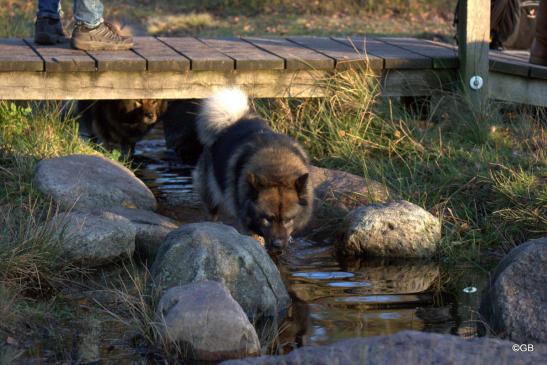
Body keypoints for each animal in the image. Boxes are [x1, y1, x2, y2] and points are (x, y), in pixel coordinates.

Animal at [194, 87, 314, 250]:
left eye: (288, 219)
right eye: (267, 219)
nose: (277, 245)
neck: (277, 170)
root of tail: (234, 121)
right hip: (210, 197)